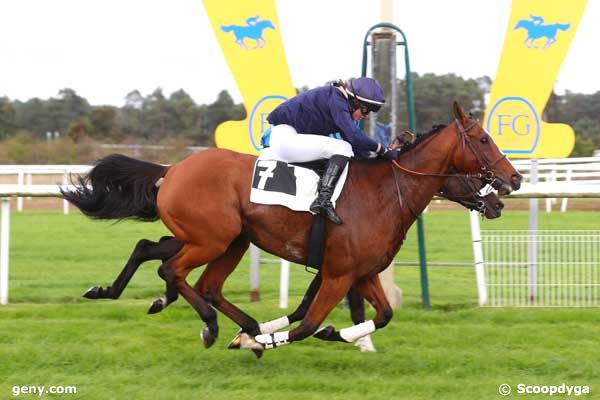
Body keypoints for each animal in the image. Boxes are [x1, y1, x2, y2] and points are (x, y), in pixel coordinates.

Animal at [62, 103, 520, 356]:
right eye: (482, 140)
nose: (511, 183)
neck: (386, 192)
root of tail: (172, 168)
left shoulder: (362, 272)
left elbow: (383, 314)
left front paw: (343, 335)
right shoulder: (337, 273)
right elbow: (306, 324)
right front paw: (260, 341)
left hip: (229, 240)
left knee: (172, 262)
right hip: (213, 238)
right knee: (173, 270)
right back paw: (214, 326)